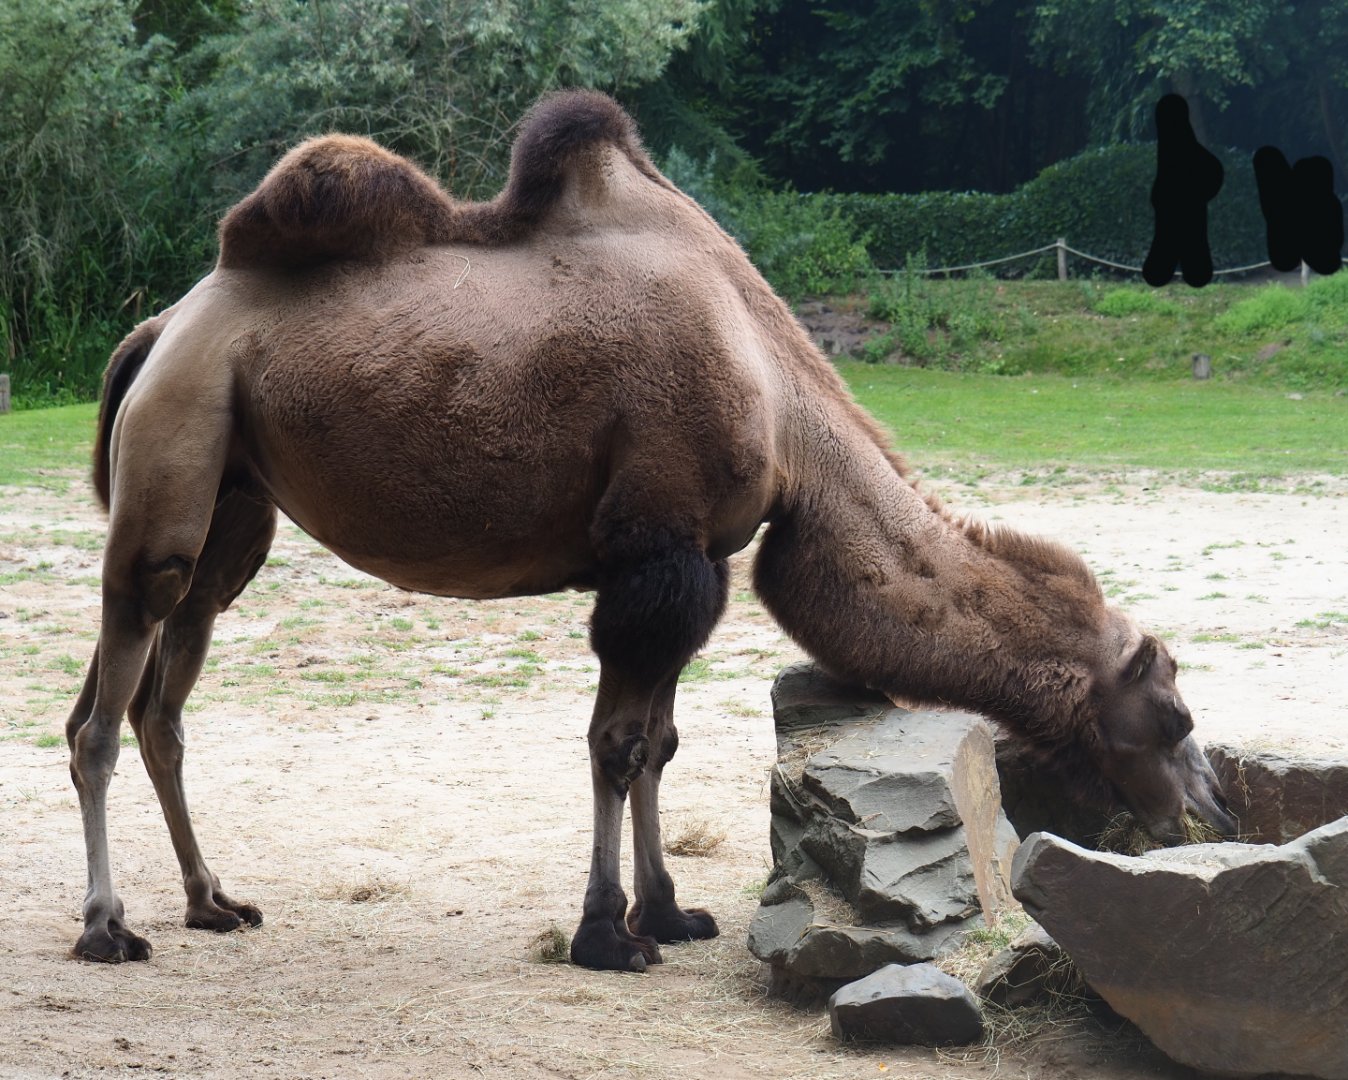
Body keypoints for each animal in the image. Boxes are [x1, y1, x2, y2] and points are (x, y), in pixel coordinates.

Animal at [67, 90, 1236, 972]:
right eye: (1175, 716)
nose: (1211, 809)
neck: (779, 400)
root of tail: (162, 325)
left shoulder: (695, 558)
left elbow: (661, 744)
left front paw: (668, 913)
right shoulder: (656, 552)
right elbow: (616, 744)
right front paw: (605, 934)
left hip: (235, 501)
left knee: (162, 701)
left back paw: (213, 901)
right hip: (177, 449)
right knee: (102, 706)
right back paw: (108, 928)